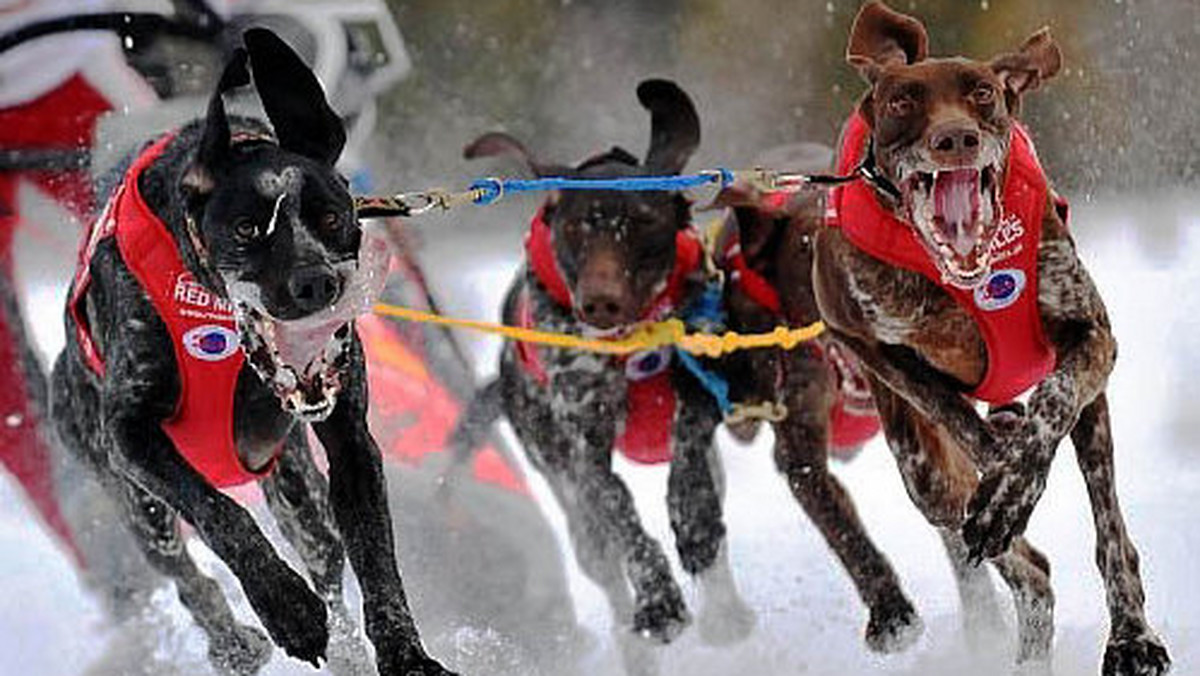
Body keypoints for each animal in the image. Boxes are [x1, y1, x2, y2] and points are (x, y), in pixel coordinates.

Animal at [49, 27, 456, 676]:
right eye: (246, 230)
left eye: (333, 218)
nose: (317, 284)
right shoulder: (131, 435)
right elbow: (220, 515)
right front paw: (284, 605)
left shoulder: (349, 442)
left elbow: (377, 563)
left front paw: (404, 654)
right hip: (135, 502)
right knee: (188, 577)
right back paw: (232, 642)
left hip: (295, 489)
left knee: (326, 560)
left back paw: (342, 649)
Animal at [816, 2, 1171, 672]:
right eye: (902, 100)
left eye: (982, 93)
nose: (956, 138)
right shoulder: (867, 342)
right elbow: (966, 428)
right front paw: (1003, 486)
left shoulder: (1092, 339)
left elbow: (1053, 402)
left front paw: (1011, 488)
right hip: (923, 471)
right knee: (1026, 566)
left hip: (1095, 419)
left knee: (1108, 530)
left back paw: (1124, 631)